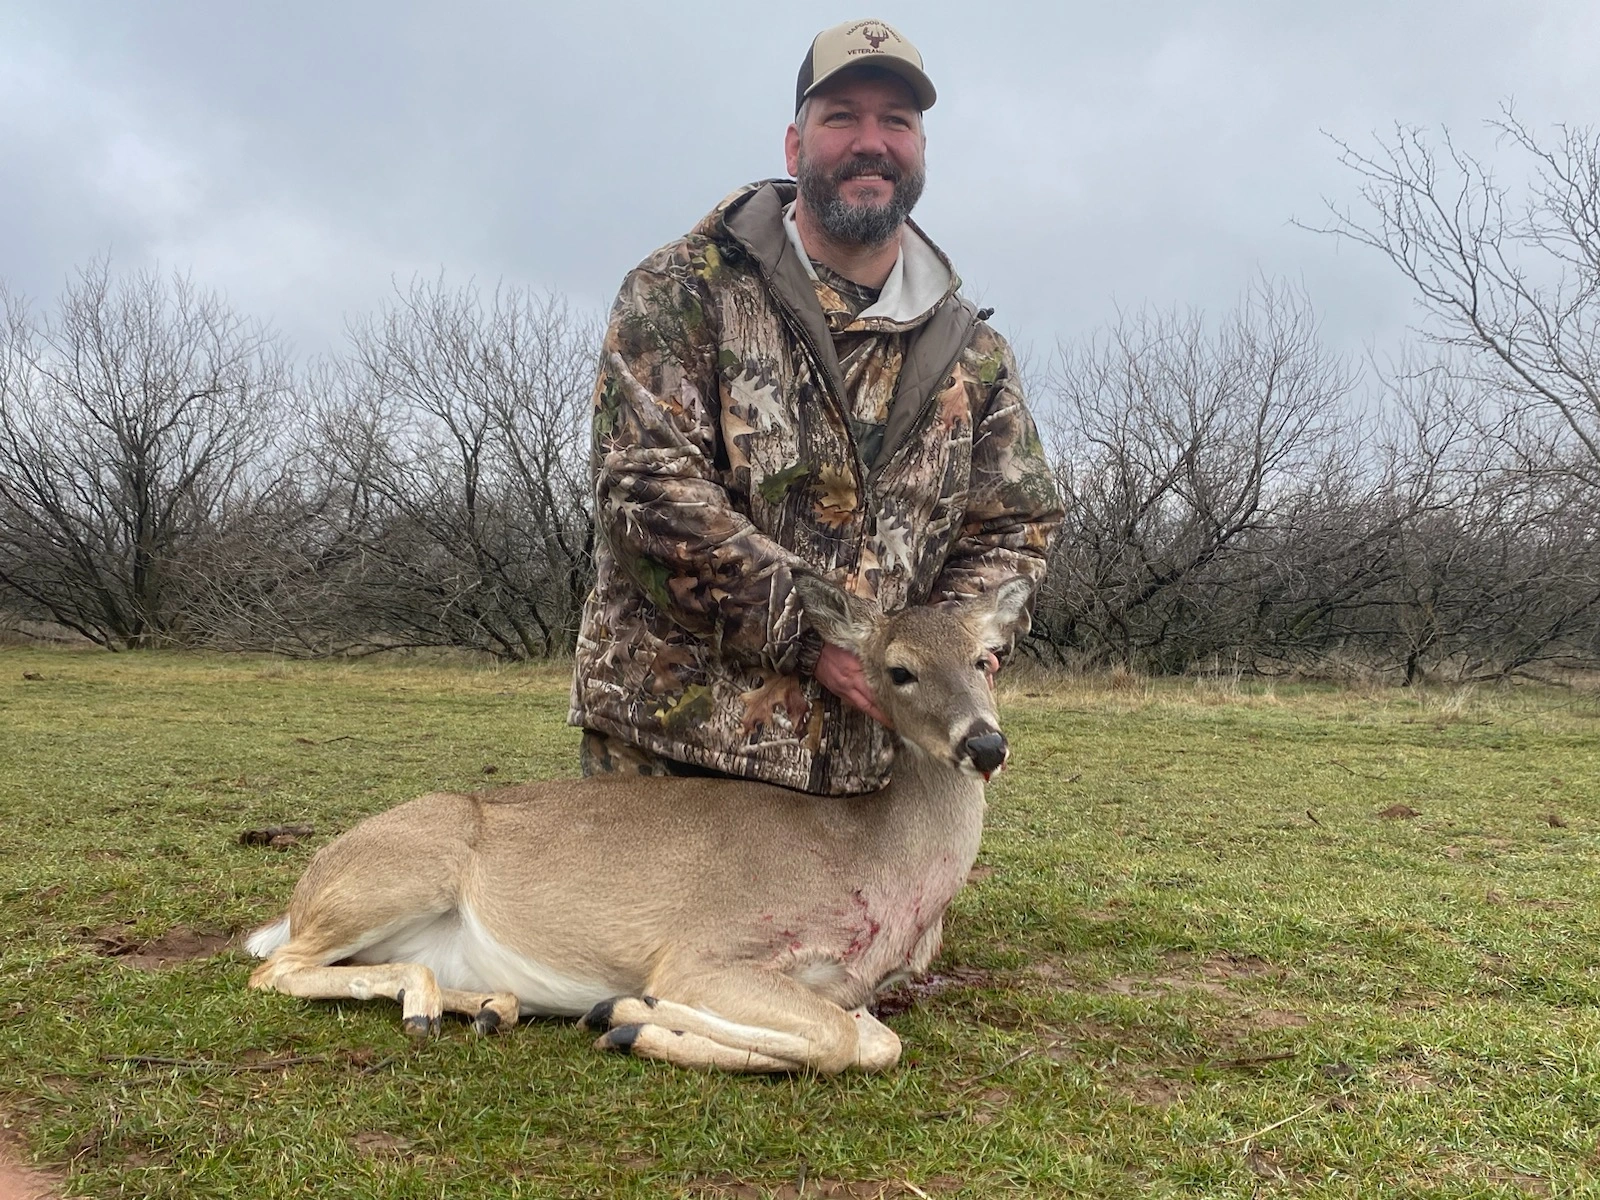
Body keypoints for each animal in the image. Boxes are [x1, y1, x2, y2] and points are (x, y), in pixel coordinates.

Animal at [245, 574, 1031, 1073]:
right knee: (272, 970)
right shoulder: (705, 949)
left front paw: (630, 1021)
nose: (985, 746)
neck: (869, 852)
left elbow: (872, 1041)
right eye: (898, 669)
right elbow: (838, 1039)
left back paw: (486, 1005)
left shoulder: (848, 987)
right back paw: (434, 1007)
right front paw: (631, 1015)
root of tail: (304, 891)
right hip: (401, 871)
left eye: (985, 658)